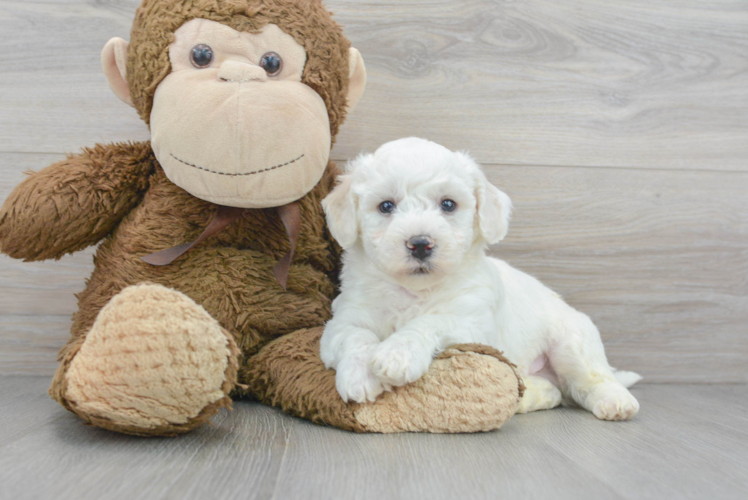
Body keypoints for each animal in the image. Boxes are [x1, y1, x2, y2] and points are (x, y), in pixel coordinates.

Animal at [318, 138, 640, 422]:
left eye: (448, 204)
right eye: (386, 206)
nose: (420, 243)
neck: (415, 291)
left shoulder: (473, 323)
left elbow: (431, 321)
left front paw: (397, 354)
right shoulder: (342, 321)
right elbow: (355, 336)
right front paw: (360, 375)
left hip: (572, 342)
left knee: (591, 380)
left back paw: (615, 401)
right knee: (551, 390)